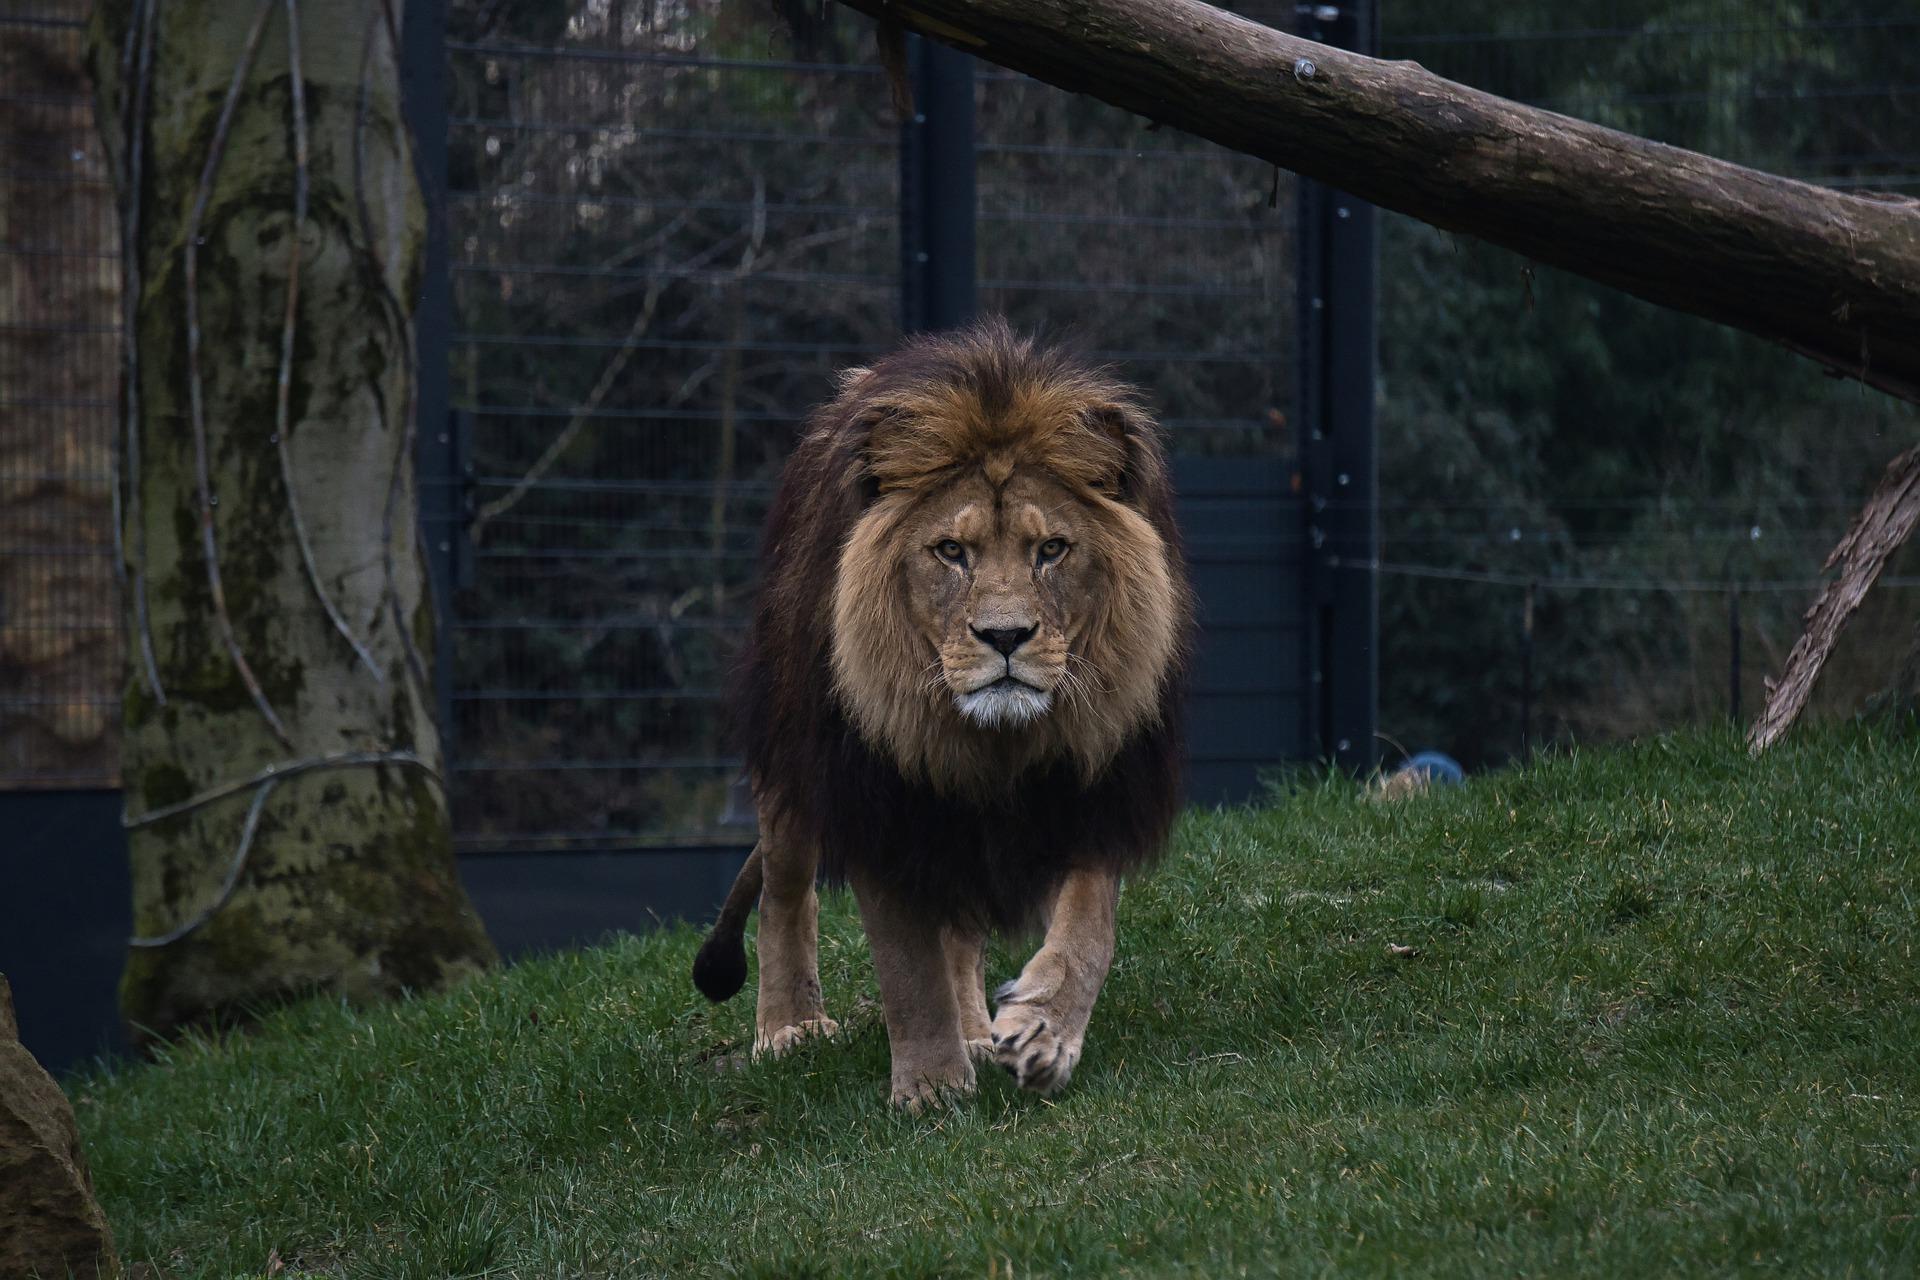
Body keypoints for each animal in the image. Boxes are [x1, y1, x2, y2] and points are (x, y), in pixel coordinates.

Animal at [691, 320, 1190, 1113]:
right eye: (951, 551)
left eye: (1052, 549)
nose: (1006, 637)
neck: (994, 742)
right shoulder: (881, 800)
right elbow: (906, 962)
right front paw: (930, 1087)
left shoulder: (1097, 783)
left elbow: (1088, 932)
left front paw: (1042, 1034)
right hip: (794, 752)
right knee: (785, 889)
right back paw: (790, 1027)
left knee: (957, 931)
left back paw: (979, 1033)